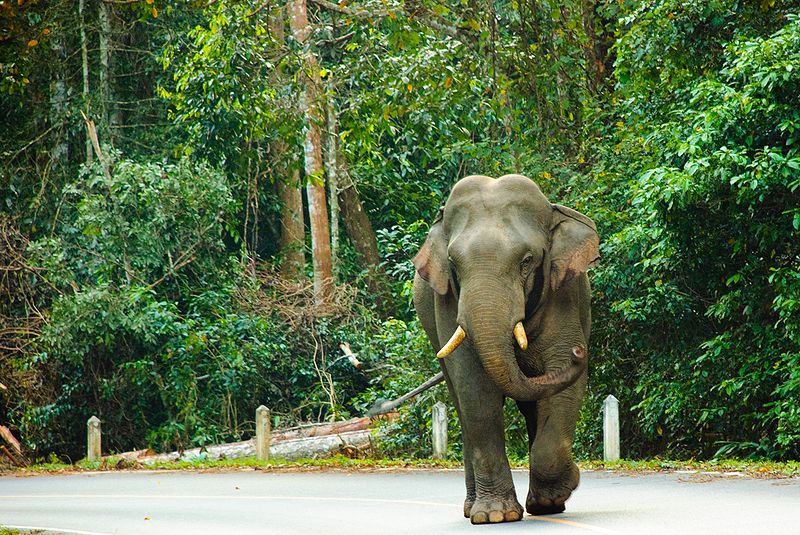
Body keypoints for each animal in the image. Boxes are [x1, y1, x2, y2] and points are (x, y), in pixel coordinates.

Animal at [412, 174, 599, 524]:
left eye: (527, 261)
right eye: (453, 264)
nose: (580, 352)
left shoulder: (564, 292)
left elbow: (563, 387)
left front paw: (563, 488)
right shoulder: (447, 303)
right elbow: (475, 388)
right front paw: (495, 516)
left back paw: (545, 504)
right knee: (463, 407)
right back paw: (473, 508)